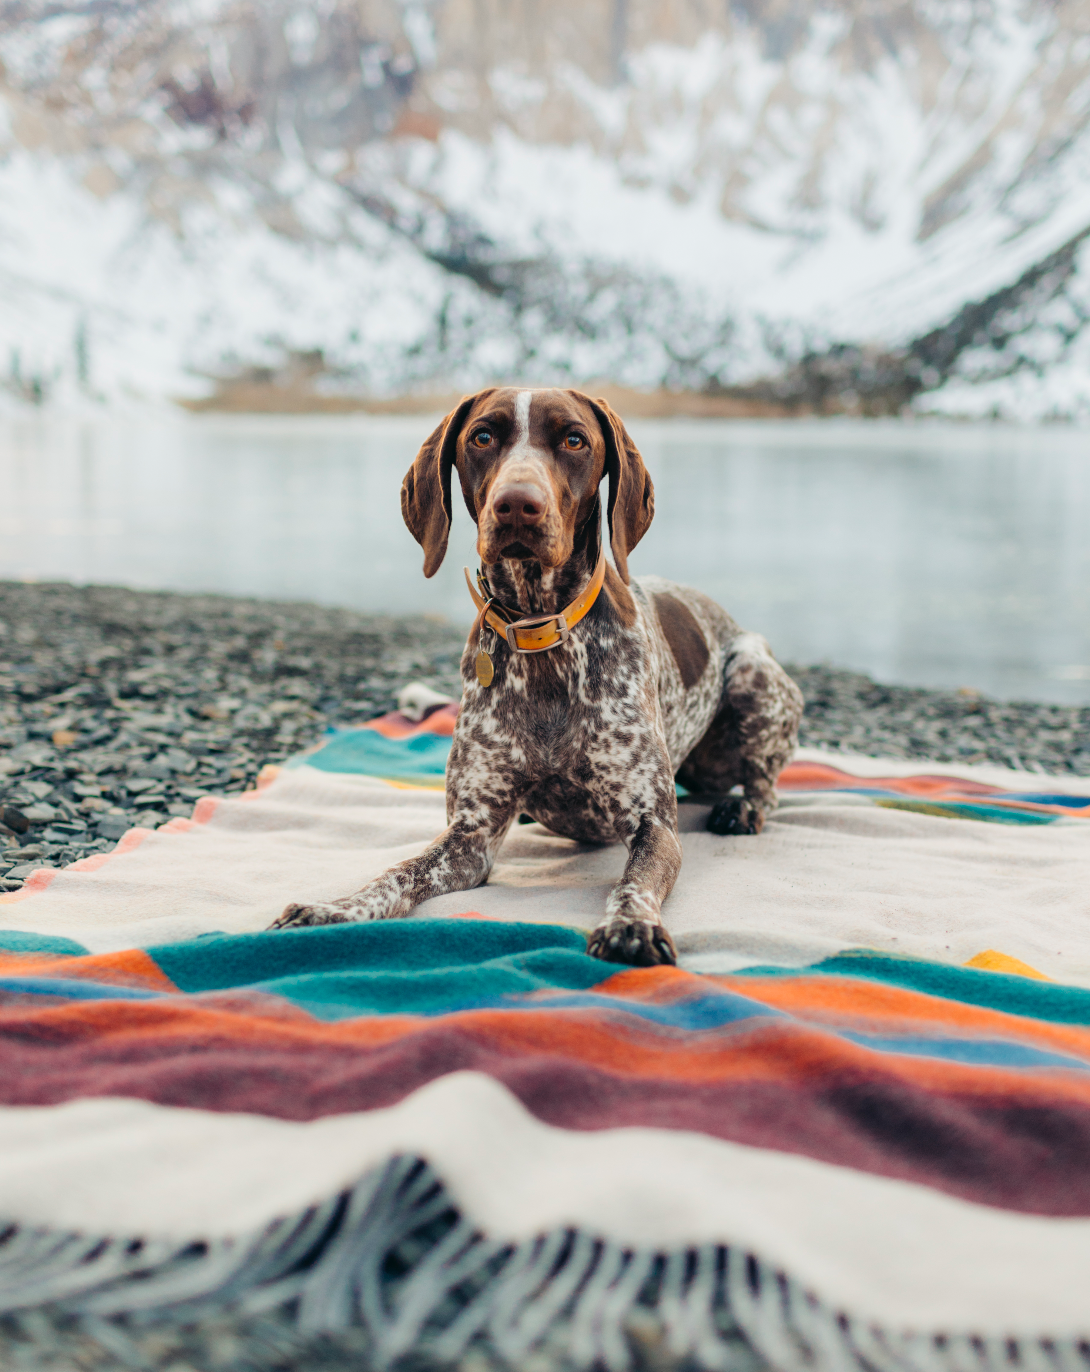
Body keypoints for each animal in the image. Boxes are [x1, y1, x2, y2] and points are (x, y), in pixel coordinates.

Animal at [271, 386, 796, 965]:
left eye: (574, 440)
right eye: (482, 436)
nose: (518, 504)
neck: (538, 632)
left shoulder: (653, 824)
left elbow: (633, 882)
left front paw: (631, 925)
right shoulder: (471, 837)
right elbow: (399, 872)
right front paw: (336, 908)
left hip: (753, 673)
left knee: (766, 783)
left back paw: (743, 808)